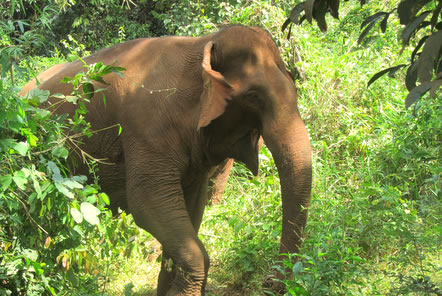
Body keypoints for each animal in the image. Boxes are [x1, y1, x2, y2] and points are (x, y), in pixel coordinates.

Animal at [22, 26, 312, 296]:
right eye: (254, 96)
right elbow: (146, 203)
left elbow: (192, 208)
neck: (202, 44)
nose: (268, 281)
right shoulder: (147, 129)